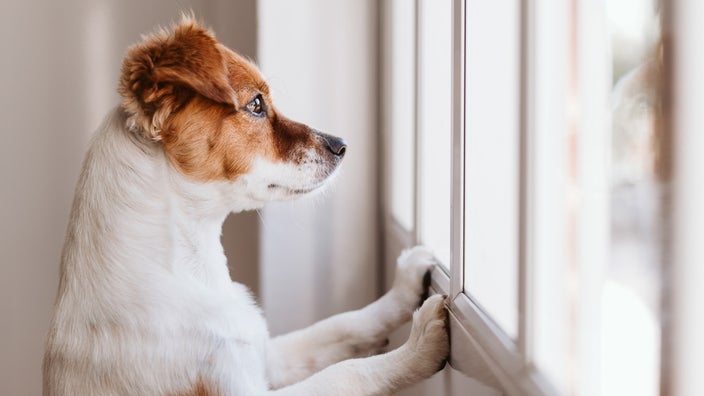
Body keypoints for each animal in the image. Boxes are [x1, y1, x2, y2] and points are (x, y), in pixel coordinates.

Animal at [44, 16, 448, 396]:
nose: (342, 145)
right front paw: (420, 345)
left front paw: (404, 287)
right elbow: (347, 374)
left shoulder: (266, 357)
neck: (190, 270)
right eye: (255, 105)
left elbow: (342, 324)